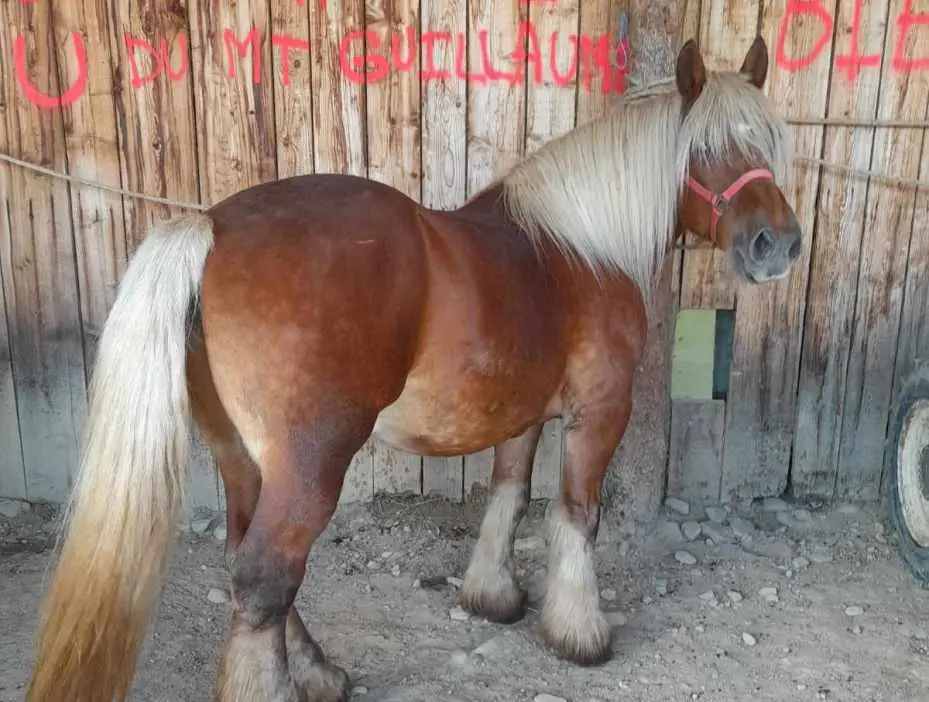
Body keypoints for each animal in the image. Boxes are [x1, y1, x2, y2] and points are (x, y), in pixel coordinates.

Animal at [25, 36, 799, 702]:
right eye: (703, 149)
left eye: (766, 141)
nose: (778, 246)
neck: (580, 250)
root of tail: (211, 228)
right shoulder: (599, 412)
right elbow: (577, 515)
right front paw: (580, 634)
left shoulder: (522, 414)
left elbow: (509, 496)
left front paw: (493, 597)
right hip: (310, 466)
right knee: (265, 577)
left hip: (243, 459)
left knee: (249, 564)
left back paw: (319, 672)